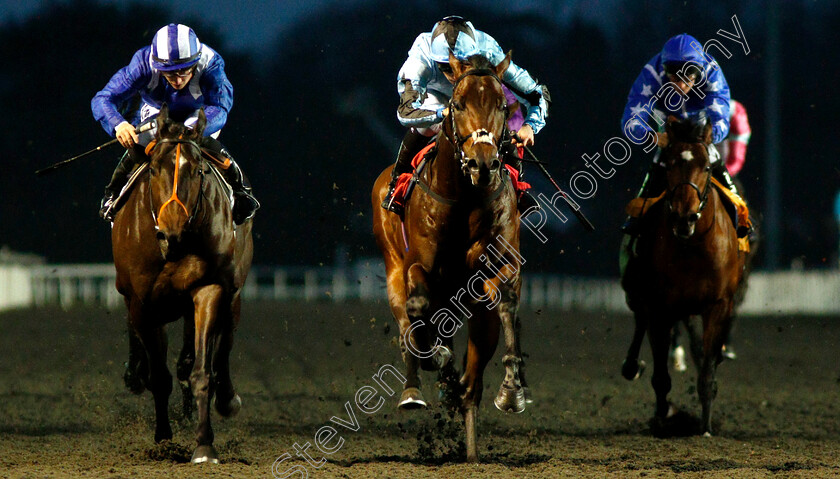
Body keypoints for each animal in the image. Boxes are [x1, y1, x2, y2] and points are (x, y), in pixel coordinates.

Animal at [113, 103, 254, 464]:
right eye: (153, 171)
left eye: (199, 171)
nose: (172, 231)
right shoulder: (143, 303)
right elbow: (159, 376)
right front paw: (163, 438)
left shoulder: (208, 290)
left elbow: (201, 371)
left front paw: (204, 445)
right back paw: (135, 373)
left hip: (232, 293)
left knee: (222, 346)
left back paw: (225, 399)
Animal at [372, 51, 524, 462]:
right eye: (458, 104)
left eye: (502, 105)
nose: (483, 163)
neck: (463, 198)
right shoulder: (419, 267)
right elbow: (419, 309)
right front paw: (435, 358)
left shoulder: (498, 267)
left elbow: (506, 302)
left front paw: (511, 390)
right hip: (393, 270)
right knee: (406, 322)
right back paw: (415, 387)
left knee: (472, 378)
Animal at [620, 115, 744, 436]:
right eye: (669, 165)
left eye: (707, 167)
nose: (684, 216)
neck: (692, 245)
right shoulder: (659, 307)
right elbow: (660, 377)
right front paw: (663, 416)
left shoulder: (718, 305)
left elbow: (707, 370)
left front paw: (705, 427)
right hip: (637, 290)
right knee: (640, 321)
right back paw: (632, 366)